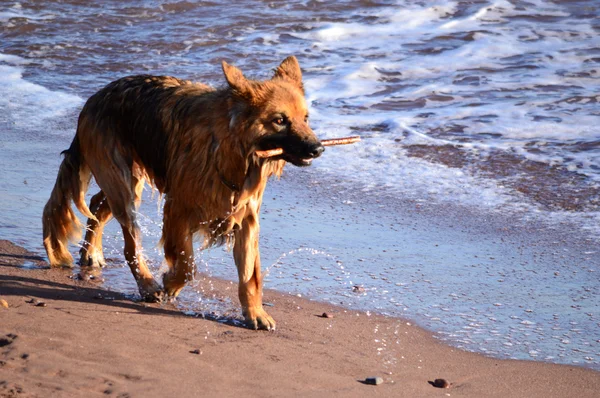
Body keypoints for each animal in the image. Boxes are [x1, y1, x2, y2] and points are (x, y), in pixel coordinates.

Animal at [42, 56, 324, 330]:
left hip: (131, 182)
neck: (229, 149)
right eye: (280, 120)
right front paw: (170, 283)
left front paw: (255, 313)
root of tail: (95, 97)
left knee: (97, 204)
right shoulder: (178, 210)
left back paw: (92, 253)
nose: (318, 148)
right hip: (122, 187)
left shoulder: (246, 218)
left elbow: (250, 276)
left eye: (306, 118)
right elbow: (188, 266)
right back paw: (147, 284)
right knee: (130, 243)